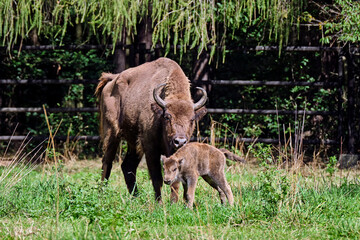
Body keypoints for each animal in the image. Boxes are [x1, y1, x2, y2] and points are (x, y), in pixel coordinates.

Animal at [95, 56, 207, 201]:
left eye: (192, 119)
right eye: (167, 117)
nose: (180, 141)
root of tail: (112, 80)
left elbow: (175, 180)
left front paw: (174, 203)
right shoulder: (150, 148)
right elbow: (157, 178)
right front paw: (159, 203)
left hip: (134, 142)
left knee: (128, 166)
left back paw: (136, 197)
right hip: (112, 133)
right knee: (107, 162)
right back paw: (101, 195)